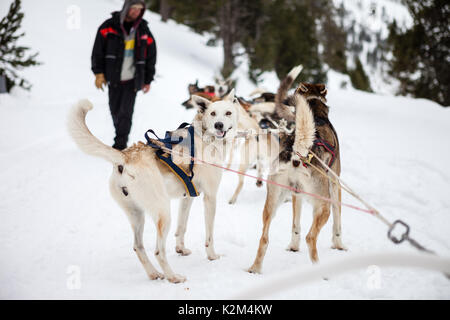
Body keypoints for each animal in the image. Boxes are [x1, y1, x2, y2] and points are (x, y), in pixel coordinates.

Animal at [67, 90, 239, 282]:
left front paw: (180, 249)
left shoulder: (187, 197)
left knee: (138, 246)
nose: (219, 125)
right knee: (158, 252)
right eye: (213, 113)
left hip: (137, 215)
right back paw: (173, 277)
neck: (205, 137)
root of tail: (125, 157)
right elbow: (209, 235)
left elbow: (182, 227)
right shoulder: (210, 197)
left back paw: (154, 273)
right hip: (163, 213)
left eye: (228, 113)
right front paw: (212, 256)